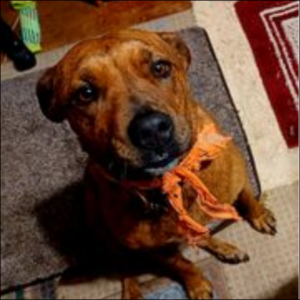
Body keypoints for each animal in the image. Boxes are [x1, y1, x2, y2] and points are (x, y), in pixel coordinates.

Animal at [37, 29, 276, 298]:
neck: (174, 183)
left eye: (160, 67)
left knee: (200, 236)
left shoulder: (237, 177)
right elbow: (182, 264)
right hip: (104, 231)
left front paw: (259, 214)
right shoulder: (155, 250)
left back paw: (225, 248)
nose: (151, 129)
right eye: (85, 93)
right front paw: (196, 283)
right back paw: (132, 291)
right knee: (124, 266)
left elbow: (247, 197)